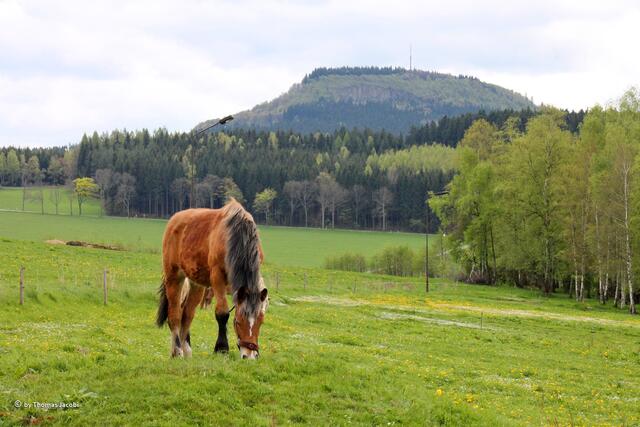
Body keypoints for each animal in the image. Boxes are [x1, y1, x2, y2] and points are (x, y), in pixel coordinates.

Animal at [155, 199, 268, 359]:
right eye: (238, 321)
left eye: (261, 321)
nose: (250, 355)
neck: (235, 237)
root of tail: (174, 220)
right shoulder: (217, 277)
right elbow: (222, 313)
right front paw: (221, 348)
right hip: (174, 277)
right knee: (175, 315)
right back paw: (177, 351)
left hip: (196, 284)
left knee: (187, 315)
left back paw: (186, 350)